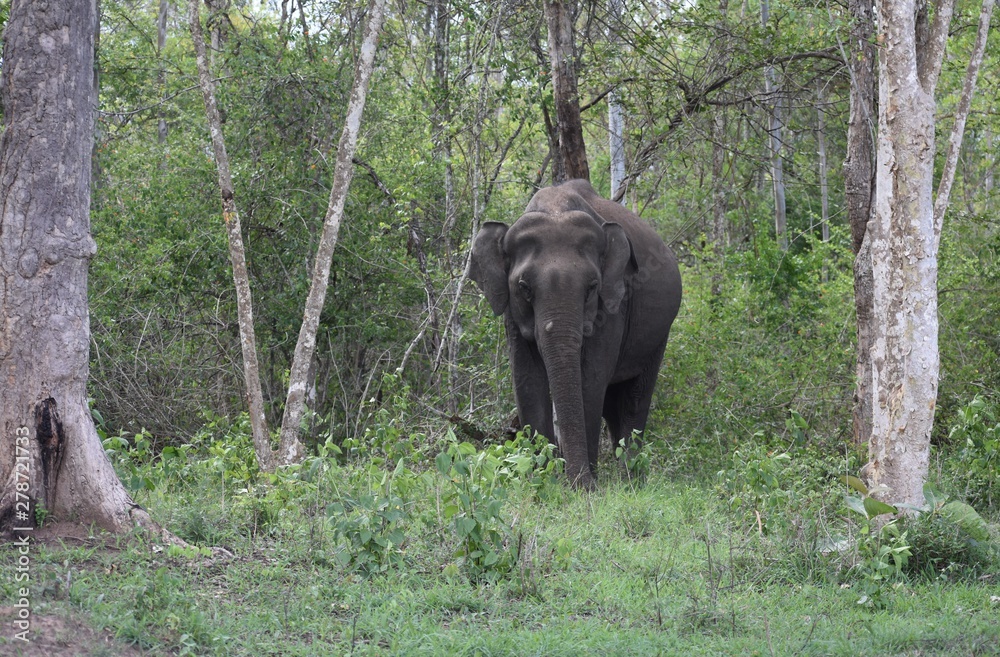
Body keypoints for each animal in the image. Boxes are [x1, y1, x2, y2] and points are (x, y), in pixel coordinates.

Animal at [470, 179, 682, 489]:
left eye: (592, 287)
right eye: (524, 287)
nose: (579, 483)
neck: (555, 206)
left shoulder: (615, 305)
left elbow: (590, 380)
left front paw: (584, 486)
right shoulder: (510, 310)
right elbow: (526, 379)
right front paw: (543, 481)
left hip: (659, 332)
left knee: (635, 398)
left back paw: (631, 480)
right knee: (613, 405)